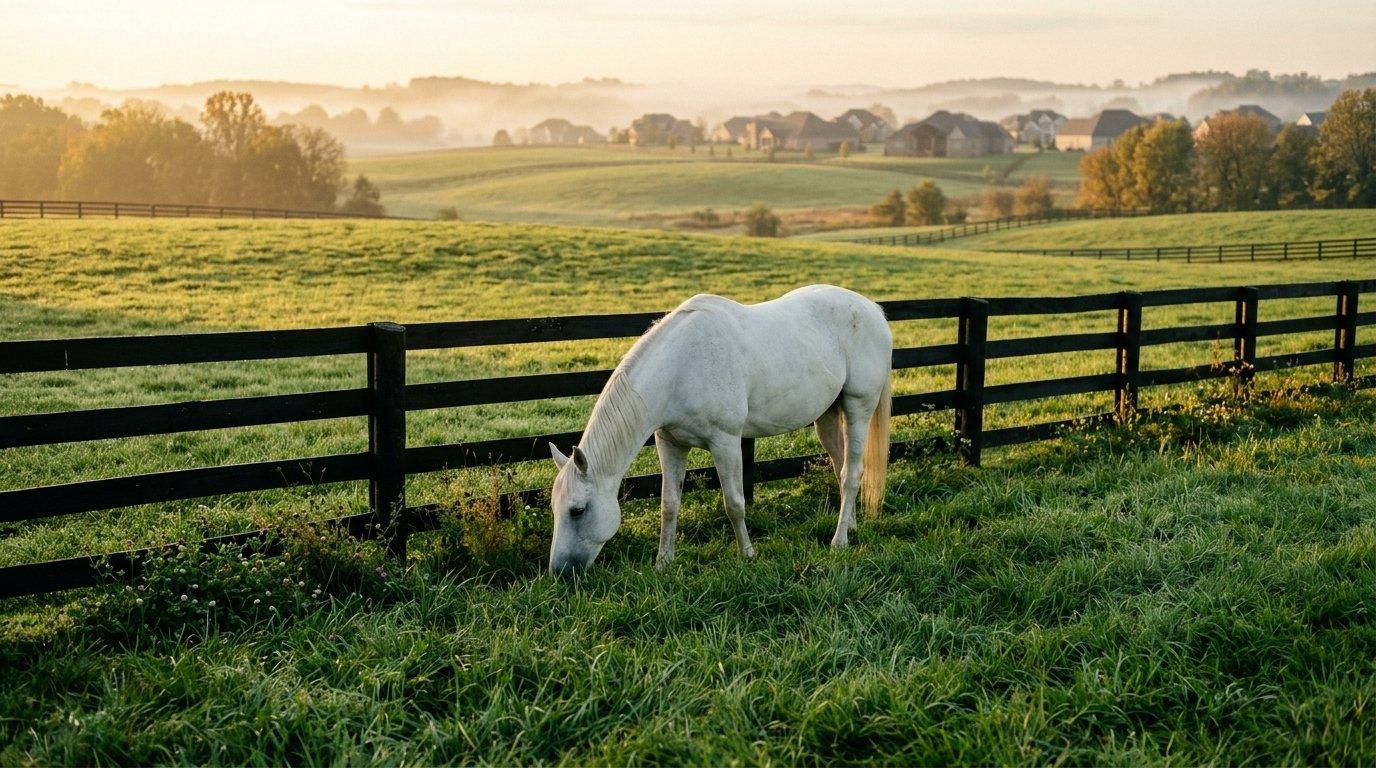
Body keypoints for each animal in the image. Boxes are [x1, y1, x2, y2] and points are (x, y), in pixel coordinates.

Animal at [547, 284, 893, 576]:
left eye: (577, 511)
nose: (560, 573)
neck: (680, 368)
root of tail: (873, 310)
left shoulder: (725, 442)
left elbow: (734, 503)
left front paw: (747, 555)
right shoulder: (669, 443)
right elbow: (669, 504)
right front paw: (663, 562)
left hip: (858, 406)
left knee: (851, 474)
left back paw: (839, 541)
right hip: (828, 415)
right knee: (842, 466)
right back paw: (851, 527)